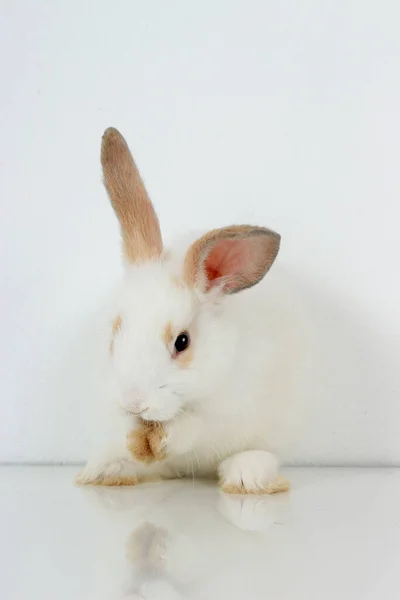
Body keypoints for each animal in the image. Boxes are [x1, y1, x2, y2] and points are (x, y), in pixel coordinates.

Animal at [77, 126, 310, 492]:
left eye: (182, 342)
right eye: (115, 333)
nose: (134, 403)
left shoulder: (222, 415)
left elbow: (192, 430)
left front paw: (163, 440)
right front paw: (134, 443)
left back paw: (246, 476)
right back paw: (106, 470)